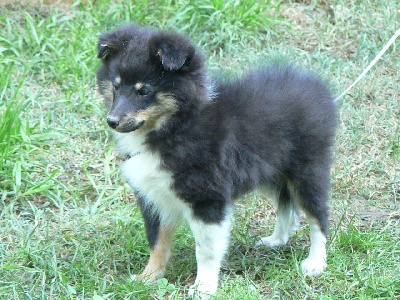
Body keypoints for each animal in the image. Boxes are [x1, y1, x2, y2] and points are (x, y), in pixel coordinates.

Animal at [96, 22, 338, 298]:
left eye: (144, 90)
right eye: (116, 86)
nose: (112, 121)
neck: (176, 126)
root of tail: (318, 89)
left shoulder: (207, 197)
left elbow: (206, 250)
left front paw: (203, 287)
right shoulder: (153, 197)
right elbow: (157, 241)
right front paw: (148, 278)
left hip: (307, 169)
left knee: (318, 215)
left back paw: (315, 263)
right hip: (270, 171)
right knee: (287, 207)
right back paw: (275, 240)